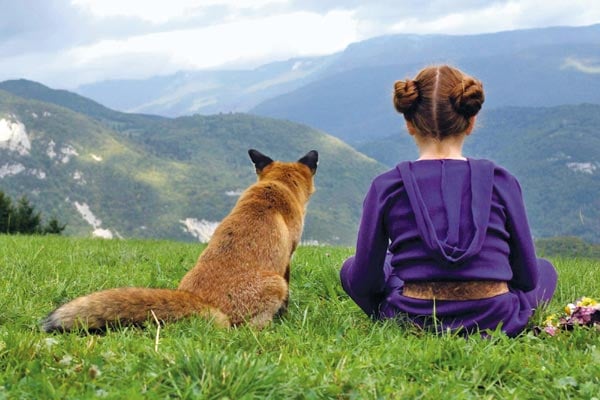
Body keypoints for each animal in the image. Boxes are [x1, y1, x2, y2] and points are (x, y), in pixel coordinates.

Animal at [42, 149, 318, 332]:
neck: (274, 188)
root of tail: (203, 302)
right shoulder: (287, 260)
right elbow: (288, 293)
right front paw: (286, 316)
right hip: (273, 285)